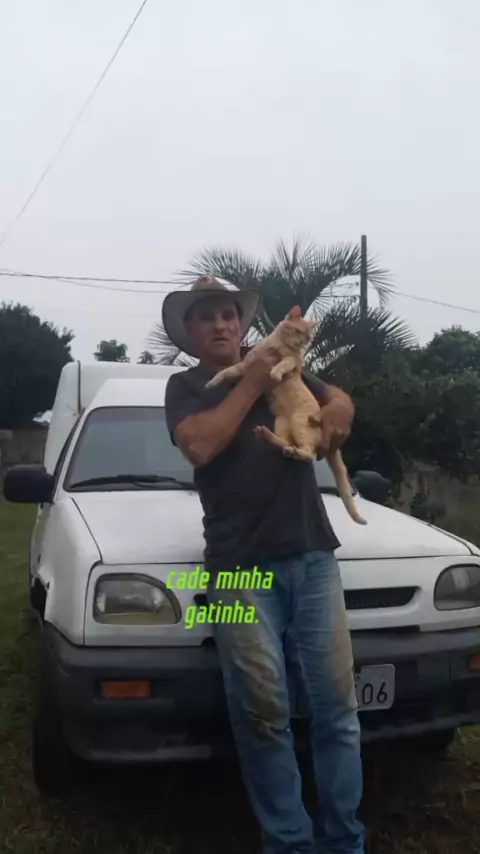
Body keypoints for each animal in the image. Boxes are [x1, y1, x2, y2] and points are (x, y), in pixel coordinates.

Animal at [205, 305, 367, 526]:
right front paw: (212, 383)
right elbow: (226, 372)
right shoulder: (244, 366)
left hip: (299, 422)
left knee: (307, 453)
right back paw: (269, 437)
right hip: (281, 422)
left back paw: (292, 450)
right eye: (298, 332)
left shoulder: (293, 362)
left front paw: (274, 373)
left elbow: (283, 364)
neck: (277, 344)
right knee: (287, 444)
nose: (301, 343)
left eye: (308, 337)